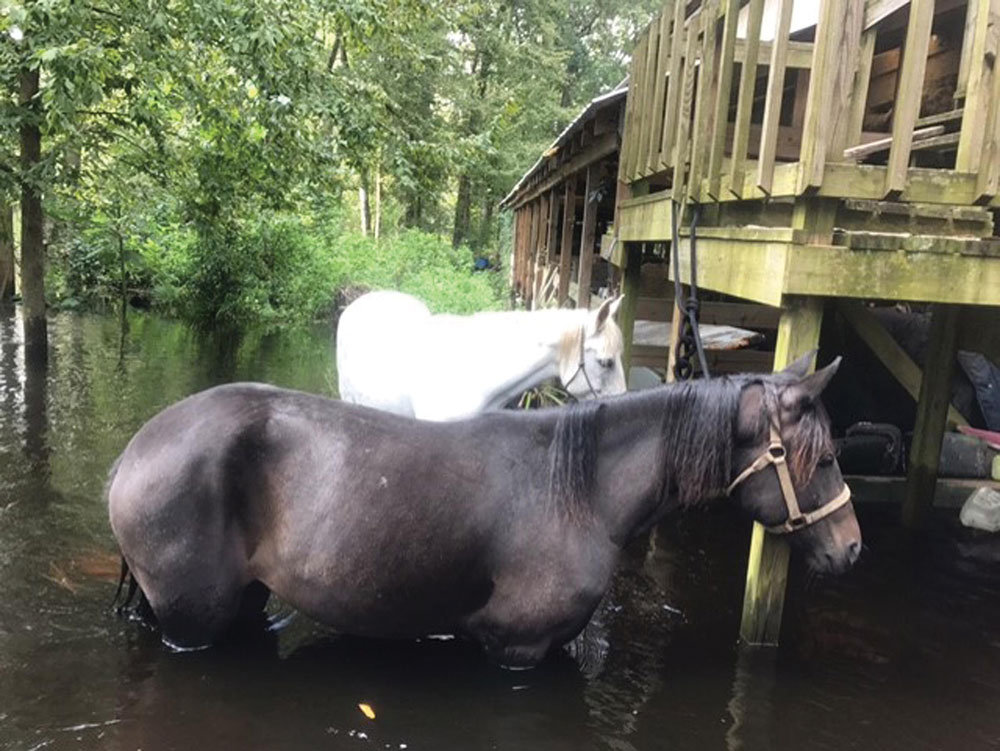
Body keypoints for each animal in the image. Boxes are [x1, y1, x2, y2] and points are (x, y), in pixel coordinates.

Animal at [107, 352, 860, 664]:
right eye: (823, 457)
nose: (853, 547)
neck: (580, 489)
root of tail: (134, 452)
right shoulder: (517, 649)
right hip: (192, 621)